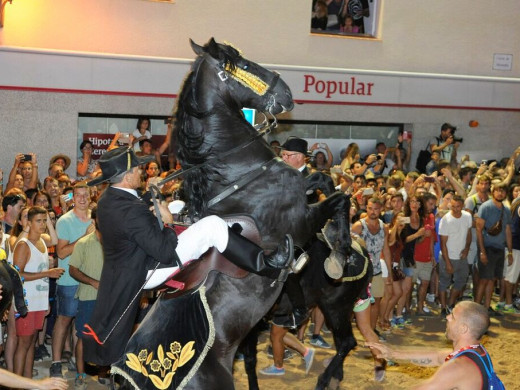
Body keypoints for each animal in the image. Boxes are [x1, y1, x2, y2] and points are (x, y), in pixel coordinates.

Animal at [113, 37, 356, 390]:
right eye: (242, 64)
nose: (286, 92)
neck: (236, 175)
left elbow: (323, 181)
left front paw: (338, 243)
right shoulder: (301, 222)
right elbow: (340, 199)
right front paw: (341, 251)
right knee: (346, 342)